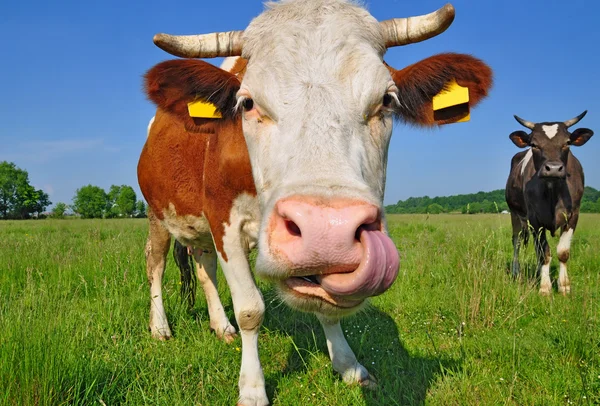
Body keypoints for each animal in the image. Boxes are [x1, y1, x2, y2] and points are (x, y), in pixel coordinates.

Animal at [137, 1, 492, 404]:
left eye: (387, 100)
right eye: (247, 103)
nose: (328, 231)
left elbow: (329, 308)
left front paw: (349, 366)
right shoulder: (222, 218)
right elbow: (250, 310)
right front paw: (252, 389)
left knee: (203, 265)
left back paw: (220, 326)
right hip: (157, 213)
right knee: (155, 263)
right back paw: (160, 327)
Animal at [504, 110, 592, 294]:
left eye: (567, 143)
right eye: (534, 144)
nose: (553, 168)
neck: (553, 192)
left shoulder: (573, 215)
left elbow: (562, 252)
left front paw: (564, 286)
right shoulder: (534, 219)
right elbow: (543, 253)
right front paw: (545, 288)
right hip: (515, 214)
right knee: (517, 241)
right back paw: (517, 272)